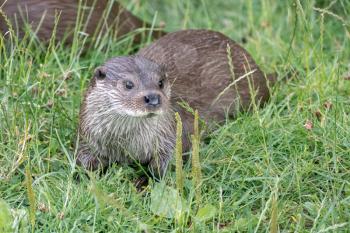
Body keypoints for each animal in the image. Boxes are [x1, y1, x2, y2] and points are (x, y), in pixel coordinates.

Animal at [77, 30, 276, 177]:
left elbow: (168, 163)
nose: (153, 98)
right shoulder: (87, 137)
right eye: (128, 84)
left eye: (160, 82)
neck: (128, 145)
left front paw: (144, 182)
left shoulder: (172, 135)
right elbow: (83, 161)